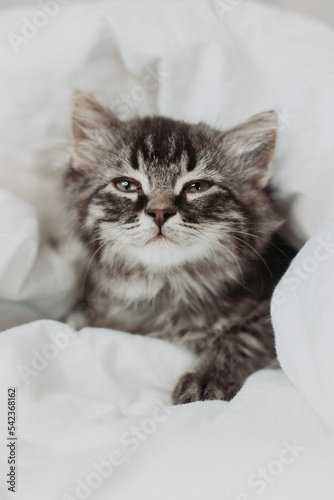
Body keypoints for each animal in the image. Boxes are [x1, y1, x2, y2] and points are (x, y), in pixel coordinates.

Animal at [63, 92, 292, 406]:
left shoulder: (270, 309)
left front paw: (206, 378)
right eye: (126, 185)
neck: (170, 288)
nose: (159, 212)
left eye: (197, 186)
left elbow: (243, 335)